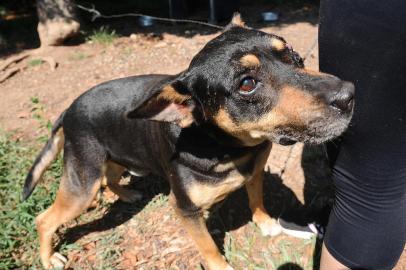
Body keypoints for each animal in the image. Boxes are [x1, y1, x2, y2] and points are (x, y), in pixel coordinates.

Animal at [22, 15, 354, 270]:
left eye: (293, 55)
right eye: (247, 84)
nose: (348, 95)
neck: (227, 148)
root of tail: (69, 109)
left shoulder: (255, 172)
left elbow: (256, 200)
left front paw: (267, 224)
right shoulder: (185, 210)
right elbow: (208, 246)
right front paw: (221, 266)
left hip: (113, 157)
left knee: (111, 177)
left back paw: (127, 194)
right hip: (83, 183)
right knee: (44, 219)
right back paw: (49, 258)